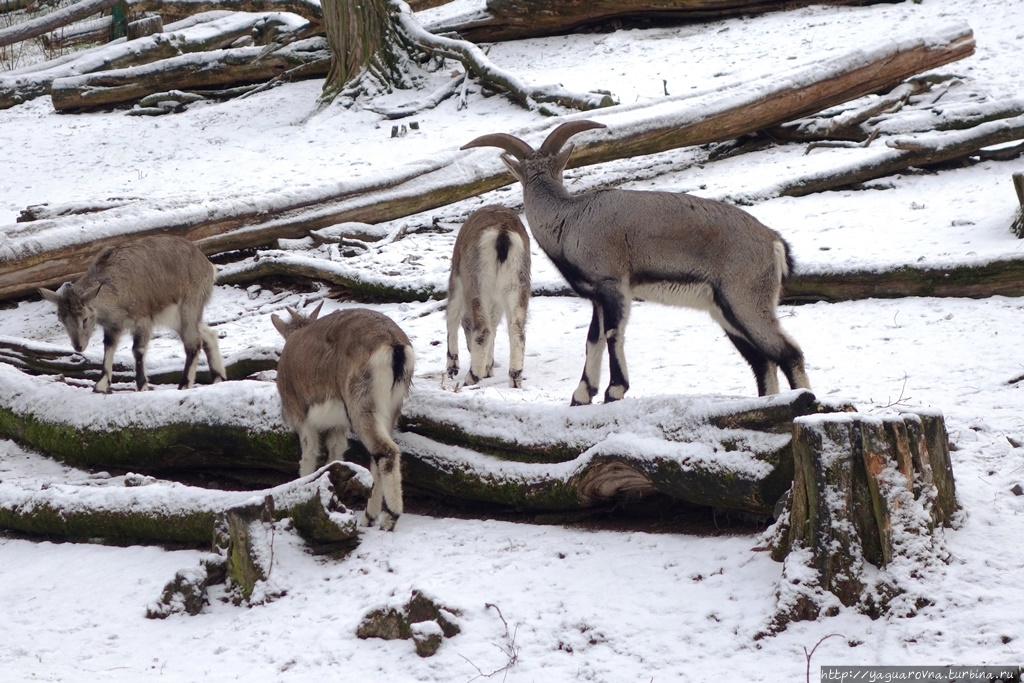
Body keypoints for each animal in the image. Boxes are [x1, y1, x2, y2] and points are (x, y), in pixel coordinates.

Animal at [38, 236, 227, 393]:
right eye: (61, 320)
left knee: (193, 343)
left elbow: (138, 350)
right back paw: (218, 378)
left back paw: (184, 384)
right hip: (175, 317)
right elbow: (109, 347)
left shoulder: (143, 320)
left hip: (189, 306)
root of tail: (208, 266)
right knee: (208, 334)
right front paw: (101, 385)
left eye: (84, 319)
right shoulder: (112, 325)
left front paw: (141, 386)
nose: (78, 346)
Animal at [274, 301, 417, 532]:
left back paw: (389, 518)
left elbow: (309, 455)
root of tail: (394, 346)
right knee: (376, 457)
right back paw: (369, 517)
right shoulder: (338, 426)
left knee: (386, 451)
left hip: (362, 404)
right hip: (390, 408)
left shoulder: (301, 416)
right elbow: (336, 455)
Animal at [444, 202, 532, 387]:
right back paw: (515, 378)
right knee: (516, 329)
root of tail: (503, 233)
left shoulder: (457, 279)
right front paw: (488, 367)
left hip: (477, 283)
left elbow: (452, 316)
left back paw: (472, 376)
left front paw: (453, 367)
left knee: (483, 329)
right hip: (518, 284)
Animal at [462, 119, 806, 405]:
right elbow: (593, 339)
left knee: (789, 353)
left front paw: (614, 390)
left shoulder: (613, 284)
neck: (571, 220)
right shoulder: (597, 296)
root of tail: (773, 243)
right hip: (726, 310)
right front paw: (582, 394)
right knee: (763, 361)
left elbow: (613, 333)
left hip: (745, 299)